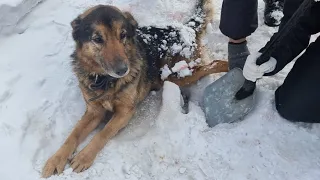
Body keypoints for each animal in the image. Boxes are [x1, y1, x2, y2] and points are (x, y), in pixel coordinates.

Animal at [42, 0, 228, 177]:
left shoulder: (125, 112)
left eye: (123, 35)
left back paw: (228, 67)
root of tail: (184, 28)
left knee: (214, 63)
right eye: (98, 39)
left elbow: (103, 133)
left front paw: (83, 156)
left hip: (178, 75)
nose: (123, 70)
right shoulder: (94, 111)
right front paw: (56, 159)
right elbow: (72, 135)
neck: (106, 81)